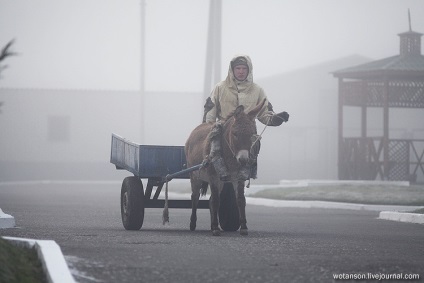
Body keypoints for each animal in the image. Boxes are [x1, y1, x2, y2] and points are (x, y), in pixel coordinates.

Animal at [186, 100, 264, 237]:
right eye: (235, 133)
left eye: (252, 134)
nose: (244, 160)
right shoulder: (213, 177)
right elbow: (216, 201)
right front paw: (216, 229)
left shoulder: (238, 178)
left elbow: (240, 200)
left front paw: (243, 227)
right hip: (195, 176)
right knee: (195, 197)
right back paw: (193, 223)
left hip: (221, 181)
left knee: (211, 200)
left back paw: (212, 224)